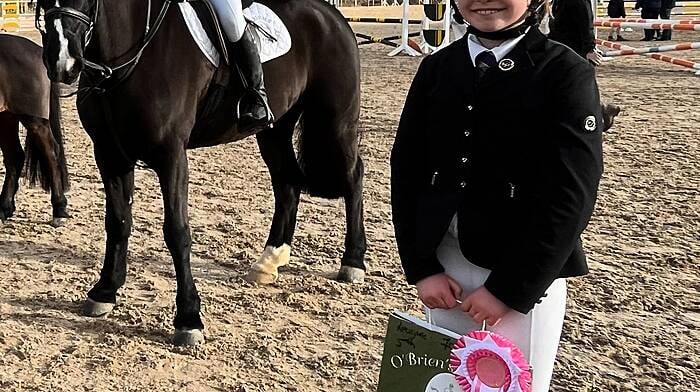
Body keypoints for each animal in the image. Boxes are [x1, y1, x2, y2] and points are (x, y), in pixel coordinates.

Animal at [0, 33, 69, 227]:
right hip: (7, 117)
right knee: (14, 158)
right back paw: (4, 208)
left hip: (34, 120)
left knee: (51, 153)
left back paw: (59, 209)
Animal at [37, 0, 366, 344]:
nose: (62, 61)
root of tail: (330, 13)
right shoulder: (109, 154)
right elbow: (118, 223)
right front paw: (104, 291)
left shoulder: (171, 155)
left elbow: (177, 232)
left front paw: (188, 318)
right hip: (275, 129)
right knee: (288, 183)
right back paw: (269, 261)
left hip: (336, 121)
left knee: (354, 176)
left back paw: (353, 262)